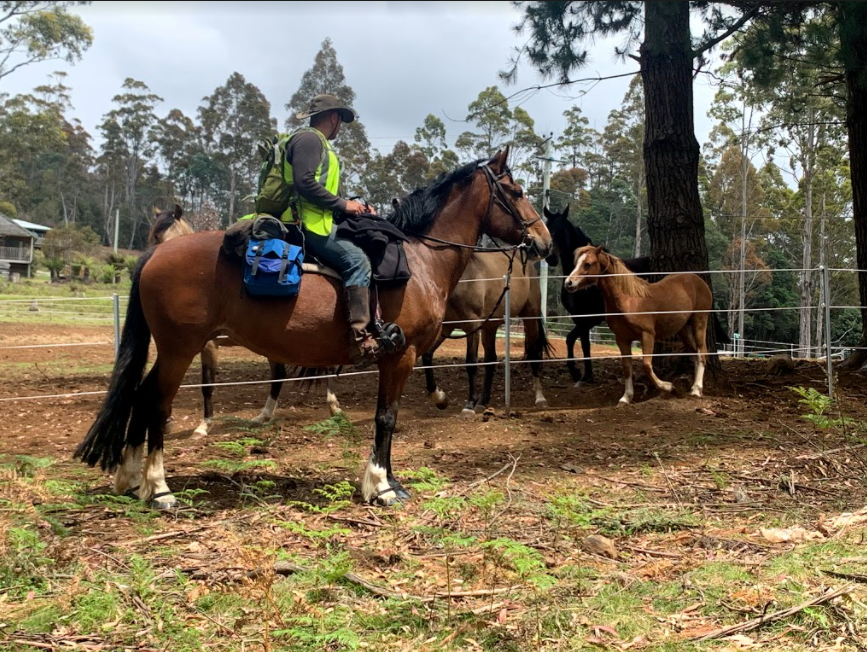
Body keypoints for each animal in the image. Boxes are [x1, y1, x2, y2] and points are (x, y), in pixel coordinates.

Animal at [73, 149, 548, 510]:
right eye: (518, 192)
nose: (543, 241)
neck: (419, 259)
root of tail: (156, 253)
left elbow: (386, 417)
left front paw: (387, 482)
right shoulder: (402, 354)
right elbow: (387, 417)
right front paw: (382, 486)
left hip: (174, 348)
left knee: (139, 396)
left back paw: (132, 479)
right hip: (180, 348)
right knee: (155, 402)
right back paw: (160, 490)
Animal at [568, 244, 716, 408]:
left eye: (588, 264)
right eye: (576, 263)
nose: (569, 283)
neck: (628, 301)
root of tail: (699, 280)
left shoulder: (647, 335)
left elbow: (646, 365)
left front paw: (668, 387)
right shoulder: (622, 339)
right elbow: (627, 368)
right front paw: (626, 398)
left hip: (699, 322)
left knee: (702, 352)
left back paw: (696, 390)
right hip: (682, 330)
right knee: (695, 353)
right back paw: (694, 387)